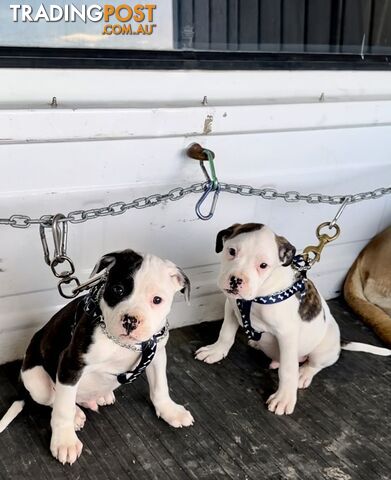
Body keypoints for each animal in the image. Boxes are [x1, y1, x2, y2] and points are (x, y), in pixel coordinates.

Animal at [0, 251, 194, 464]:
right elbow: (62, 408)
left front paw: (170, 410)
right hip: (36, 380)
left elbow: (160, 386)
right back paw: (76, 414)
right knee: (55, 399)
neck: (120, 343)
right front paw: (64, 441)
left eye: (157, 300)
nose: (130, 320)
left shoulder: (157, 354)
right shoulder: (70, 364)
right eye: (118, 289)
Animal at [196, 225, 391, 416]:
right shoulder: (231, 307)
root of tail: (338, 343)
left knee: (315, 364)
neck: (257, 297)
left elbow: (288, 370)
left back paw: (303, 374)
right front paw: (216, 351)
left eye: (263, 265)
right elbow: (226, 333)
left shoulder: (286, 335)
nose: (236, 280)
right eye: (231, 251)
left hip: (322, 349)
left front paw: (284, 398)